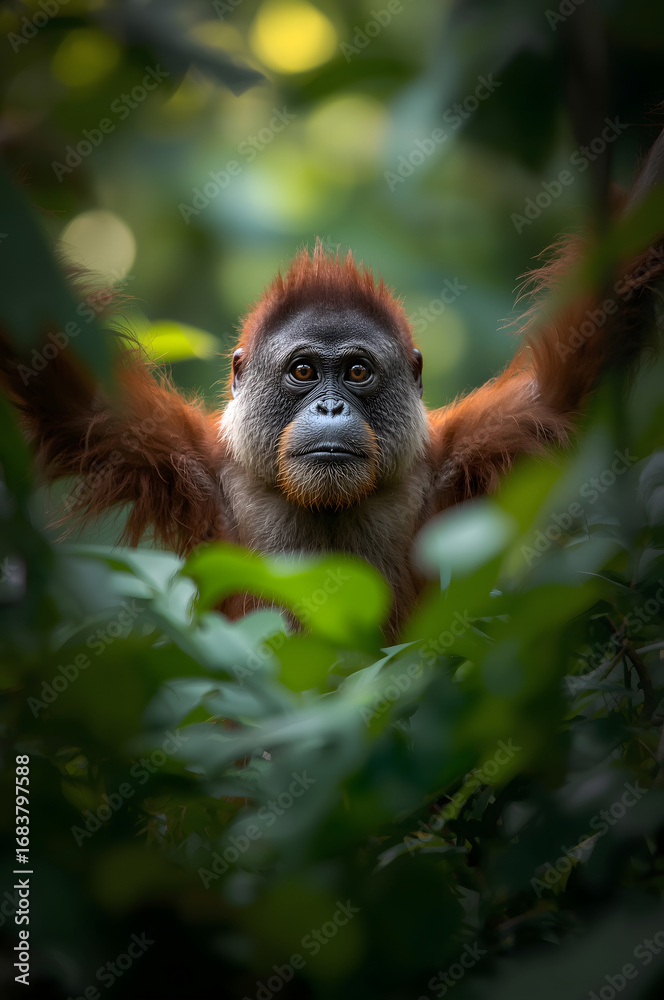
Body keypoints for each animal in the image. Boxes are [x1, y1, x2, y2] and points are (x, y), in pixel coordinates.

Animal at [2, 128, 664, 637]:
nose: (327, 408)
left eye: (356, 372)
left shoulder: (474, 447)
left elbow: (562, 381)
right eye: (302, 372)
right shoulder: (176, 455)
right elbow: (71, 396)